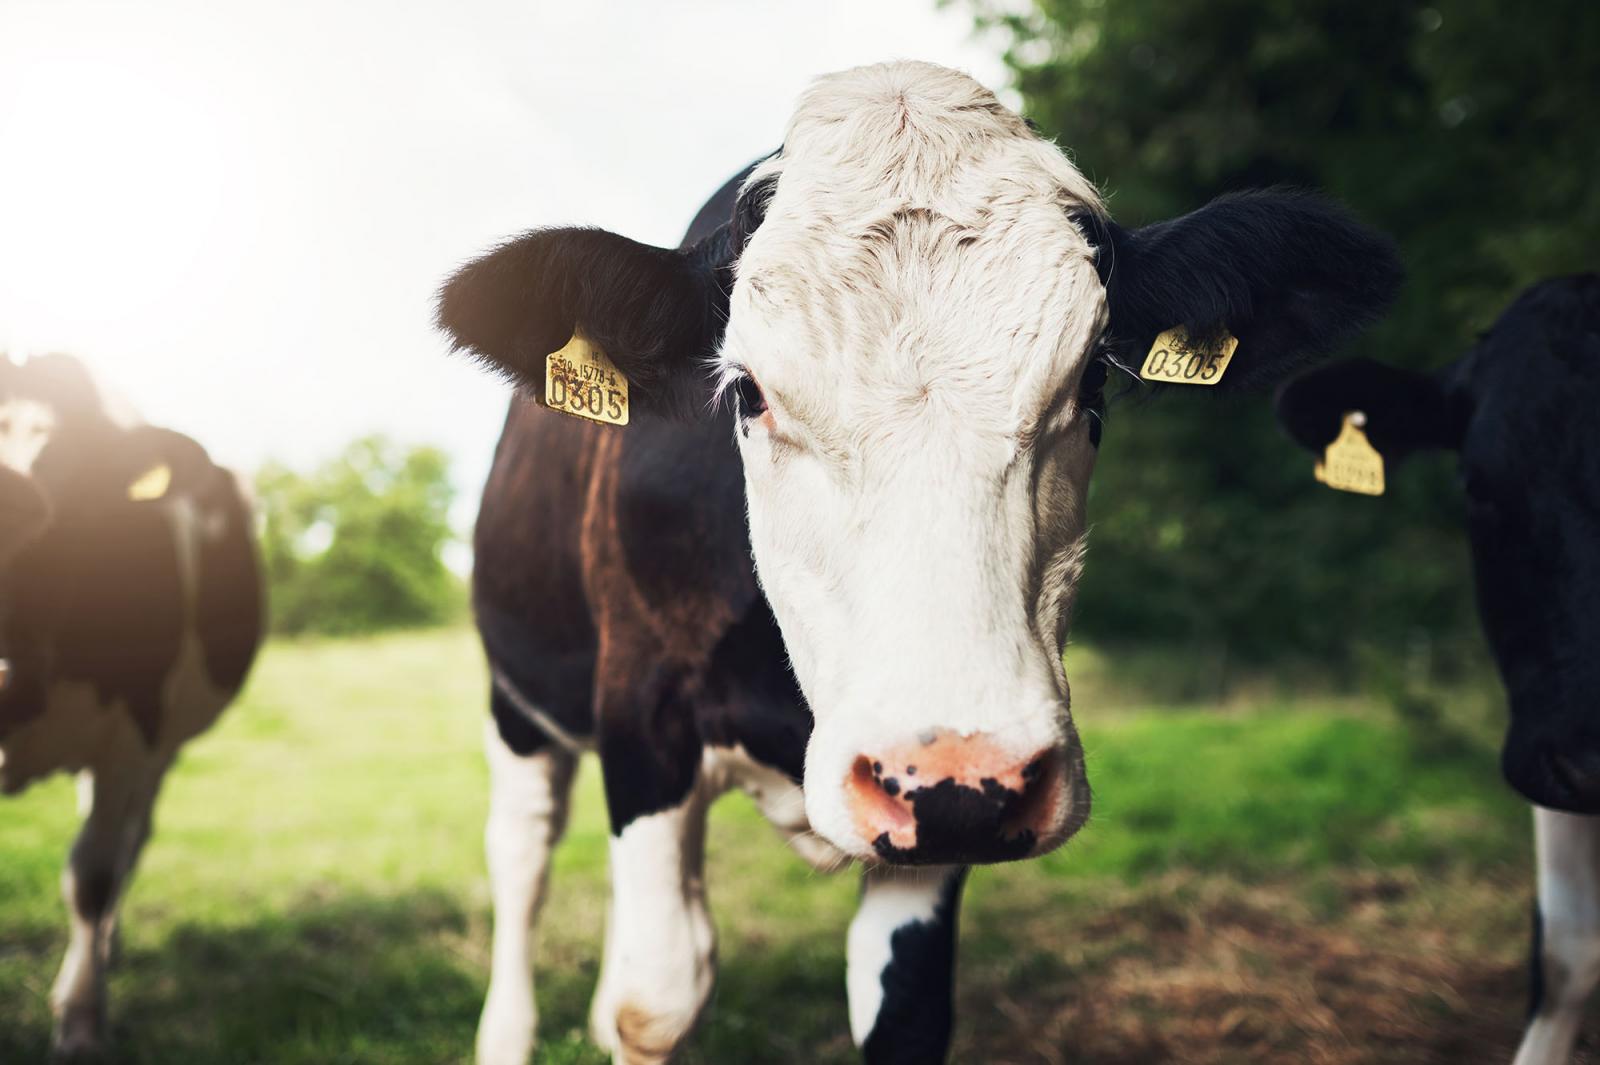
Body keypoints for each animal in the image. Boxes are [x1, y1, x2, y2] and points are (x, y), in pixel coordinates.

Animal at [0, 350, 262, 1055]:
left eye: (89, 491)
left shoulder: (132, 734)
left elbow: (90, 877)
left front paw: (81, 1021)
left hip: (162, 746)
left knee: (126, 845)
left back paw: (103, 955)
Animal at [441, 59, 1401, 1061]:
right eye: (746, 391)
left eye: (1094, 378)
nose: (962, 771)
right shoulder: (643, 708)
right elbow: (655, 997)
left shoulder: (940, 815)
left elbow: (901, 1005)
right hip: (518, 699)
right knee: (523, 852)